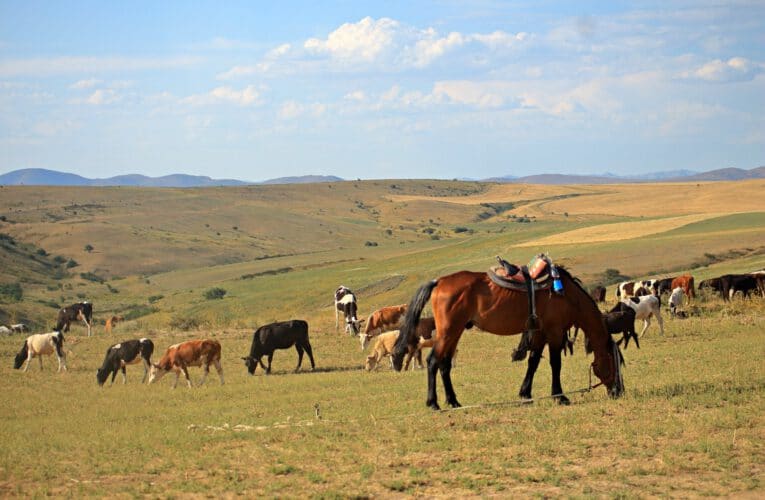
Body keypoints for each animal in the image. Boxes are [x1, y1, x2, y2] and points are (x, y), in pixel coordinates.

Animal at [390, 266, 624, 410]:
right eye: (615, 362)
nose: (619, 391)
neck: (566, 296)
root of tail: (439, 282)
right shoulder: (554, 332)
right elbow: (555, 364)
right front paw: (560, 396)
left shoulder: (539, 333)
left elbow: (533, 362)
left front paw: (525, 394)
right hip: (448, 332)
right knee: (432, 362)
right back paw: (434, 403)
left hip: (455, 332)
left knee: (445, 365)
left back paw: (454, 401)